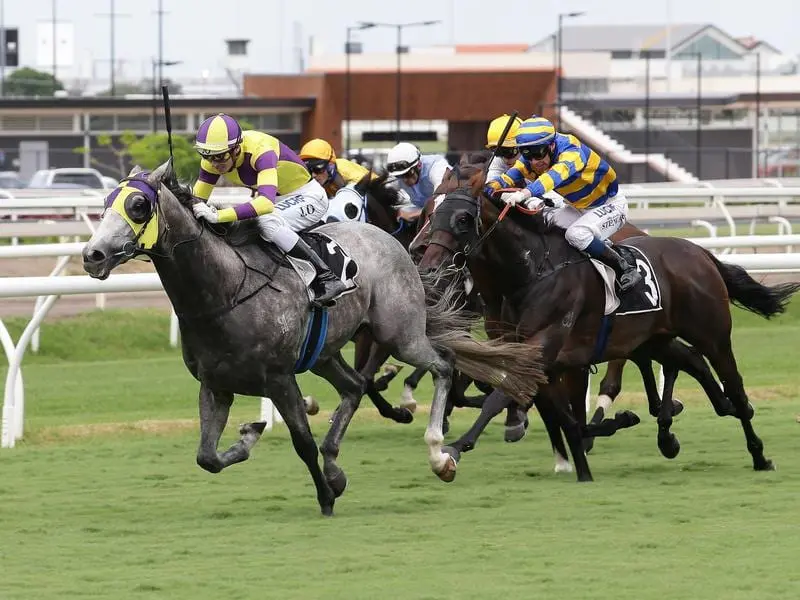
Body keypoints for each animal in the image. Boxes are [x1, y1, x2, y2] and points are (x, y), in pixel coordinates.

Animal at [81, 163, 548, 516]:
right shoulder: (216, 385)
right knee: (355, 387)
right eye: (104, 204)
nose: (92, 255)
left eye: (138, 205)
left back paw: (439, 455)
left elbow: (301, 442)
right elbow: (207, 457)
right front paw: (252, 435)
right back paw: (338, 463)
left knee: (444, 366)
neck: (224, 292)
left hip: (398, 333)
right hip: (326, 353)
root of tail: (397, 242)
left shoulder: (279, 379)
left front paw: (324, 495)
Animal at [416, 161, 796, 482]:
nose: (428, 266)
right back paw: (690, 422)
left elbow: (504, 396)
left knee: (734, 385)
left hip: (713, 335)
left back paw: (759, 454)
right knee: (693, 362)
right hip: (656, 339)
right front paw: (599, 444)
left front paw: (451, 451)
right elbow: (566, 419)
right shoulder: (543, 360)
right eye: (430, 212)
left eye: (463, 218)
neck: (533, 271)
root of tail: (700, 252)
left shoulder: (545, 349)